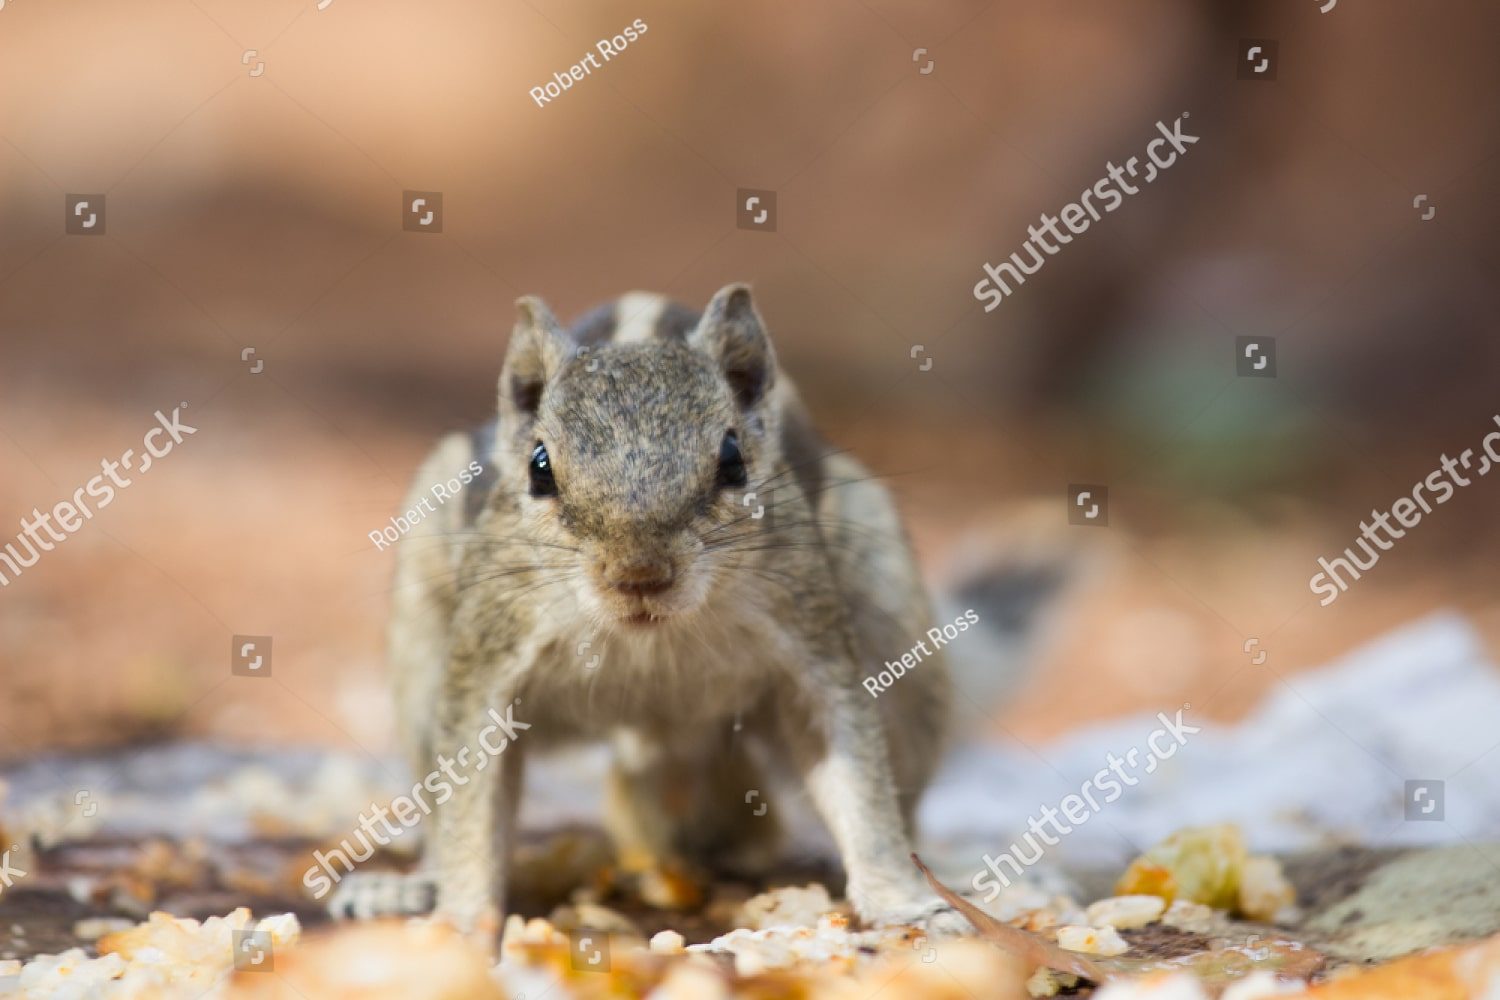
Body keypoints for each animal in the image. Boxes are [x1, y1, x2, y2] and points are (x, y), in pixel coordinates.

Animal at [332, 284, 976, 938]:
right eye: (539, 467)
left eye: (733, 459)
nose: (638, 575)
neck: (649, 639)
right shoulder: (489, 657)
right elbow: (470, 806)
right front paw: (461, 918)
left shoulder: (814, 647)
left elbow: (857, 781)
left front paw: (903, 902)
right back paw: (409, 887)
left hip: (894, 633)